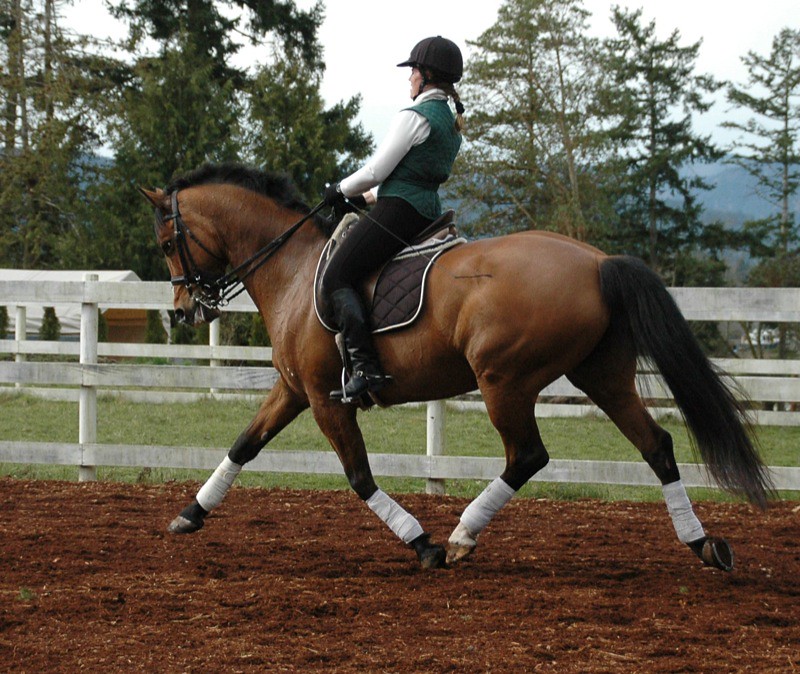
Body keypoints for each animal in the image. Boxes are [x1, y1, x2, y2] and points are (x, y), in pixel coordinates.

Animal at [140, 162, 774, 572]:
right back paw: (703, 545)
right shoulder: (295, 390)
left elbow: (359, 476)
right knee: (657, 446)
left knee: (528, 456)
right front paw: (189, 515)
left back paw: (463, 535)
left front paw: (422, 544)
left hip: (504, 380)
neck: (294, 270)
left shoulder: (324, 398)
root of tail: (596, 262)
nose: (186, 309)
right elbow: (244, 444)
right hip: (601, 377)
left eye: (169, 242)